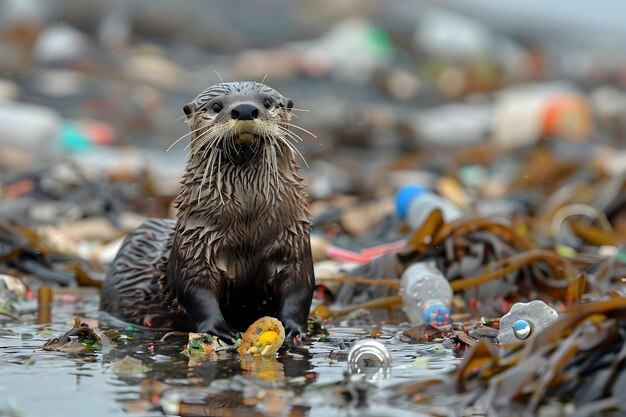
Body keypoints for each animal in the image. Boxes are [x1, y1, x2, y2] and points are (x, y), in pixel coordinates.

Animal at [103, 81, 316, 342]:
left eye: (267, 102)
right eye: (216, 106)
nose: (245, 110)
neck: (249, 223)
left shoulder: (293, 243)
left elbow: (299, 288)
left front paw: (294, 329)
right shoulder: (196, 246)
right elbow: (197, 291)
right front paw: (218, 329)